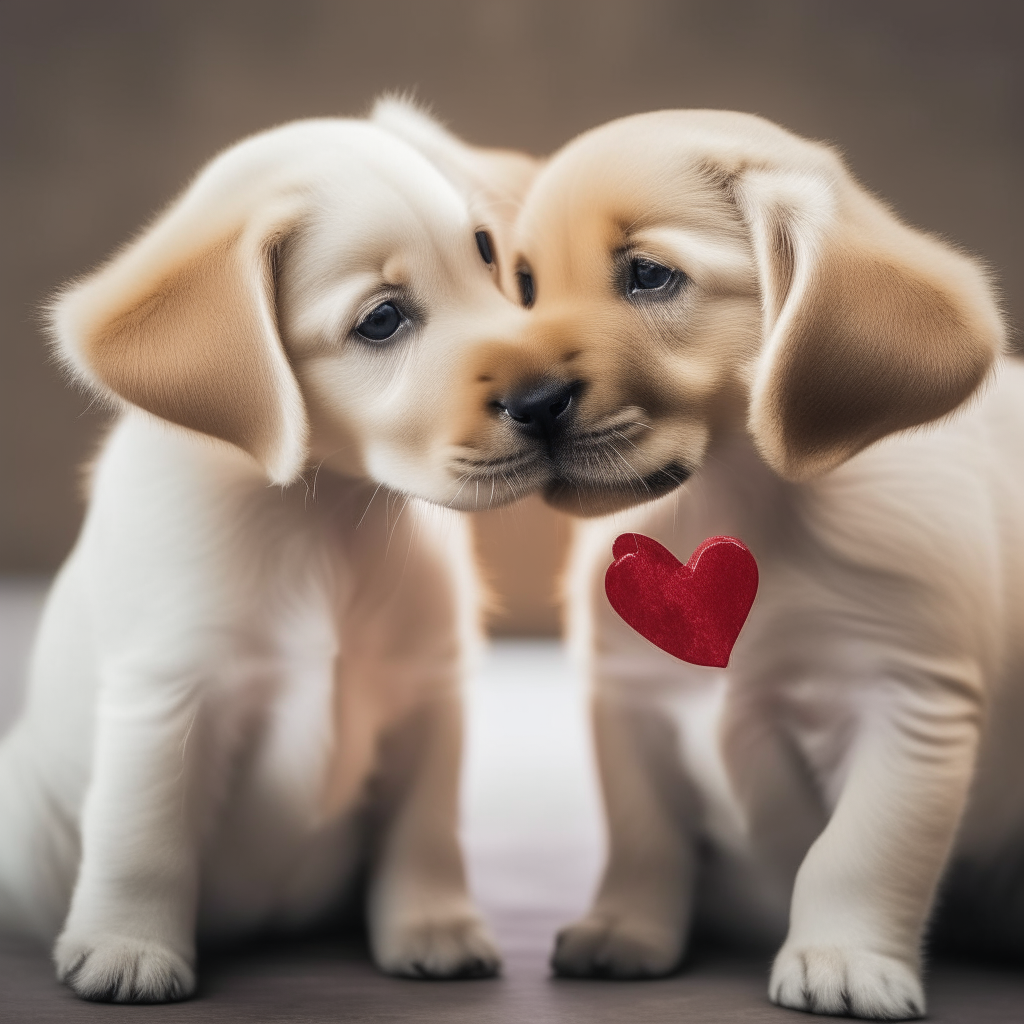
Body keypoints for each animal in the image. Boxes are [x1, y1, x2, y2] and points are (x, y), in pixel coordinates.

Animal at [0, 101, 557, 999]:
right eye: (381, 321)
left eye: (486, 252)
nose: (553, 399)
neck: (325, 516)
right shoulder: (166, 694)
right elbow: (142, 836)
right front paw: (129, 947)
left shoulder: (430, 691)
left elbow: (426, 832)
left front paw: (433, 927)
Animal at [507, 108, 1019, 1019]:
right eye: (524, 286)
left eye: (648, 275)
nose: (521, 404)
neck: (733, 499)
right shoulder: (629, 698)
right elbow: (643, 839)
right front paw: (625, 930)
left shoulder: (907, 705)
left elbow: (859, 851)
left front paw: (843, 958)